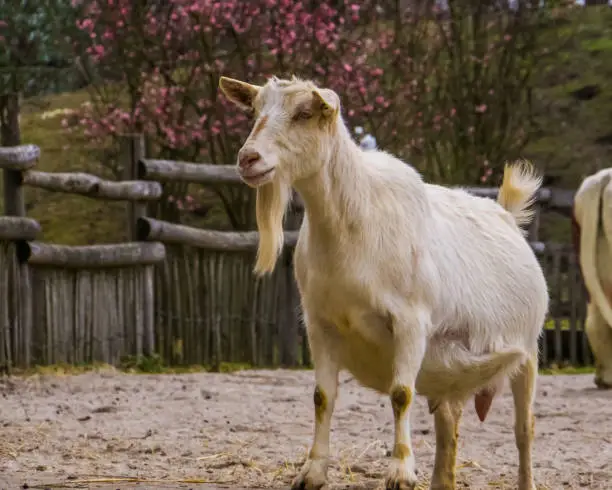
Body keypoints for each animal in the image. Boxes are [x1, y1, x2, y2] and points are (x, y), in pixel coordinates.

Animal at [220, 73, 548, 490]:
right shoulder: (320, 323)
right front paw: (312, 472)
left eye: (304, 113)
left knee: (524, 429)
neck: (354, 220)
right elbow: (322, 396)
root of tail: (507, 214)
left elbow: (401, 394)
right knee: (448, 426)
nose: (248, 159)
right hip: (451, 366)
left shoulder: (410, 321)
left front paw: (401, 471)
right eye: (256, 110)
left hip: (528, 352)